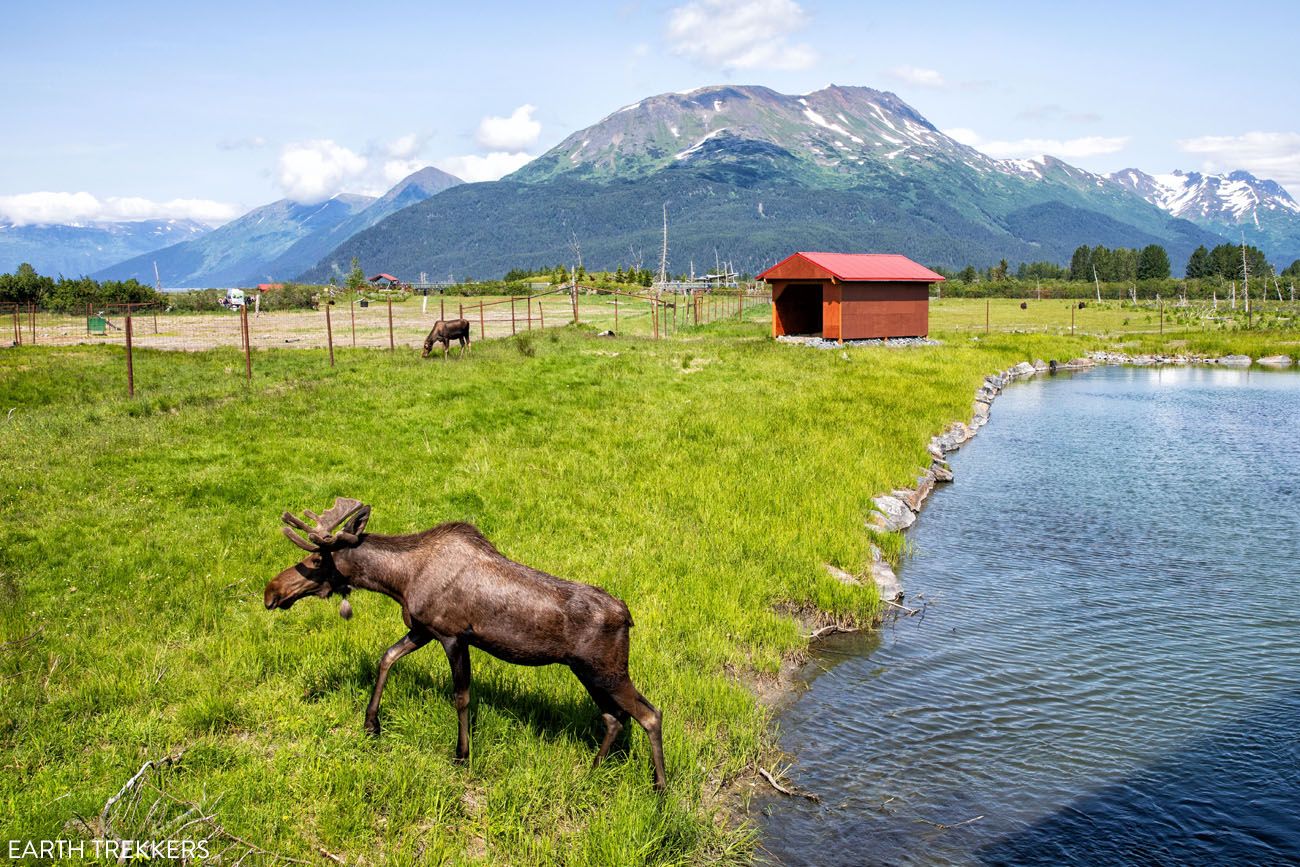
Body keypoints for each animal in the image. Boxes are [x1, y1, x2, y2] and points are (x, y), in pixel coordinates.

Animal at [263, 499, 670, 790]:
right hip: (588, 672)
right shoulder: (422, 629)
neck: (398, 581)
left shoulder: (453, 635)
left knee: (650, 713)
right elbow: (387, 658)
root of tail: (628, 616)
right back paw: (593, 771)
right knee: (614, 718)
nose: (271, 592)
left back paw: (660, 788)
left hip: (608, 670)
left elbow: (461, 697)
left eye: (317, 559)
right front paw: (371, 723)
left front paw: (461, 755)